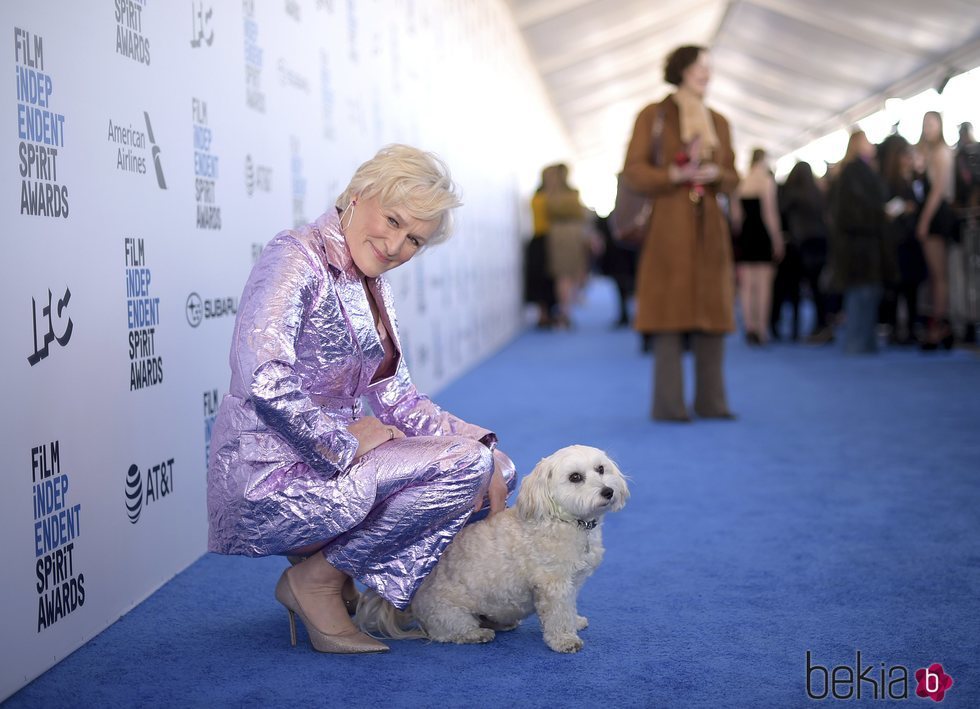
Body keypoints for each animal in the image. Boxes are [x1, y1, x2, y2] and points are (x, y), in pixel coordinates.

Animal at [356, 442, 632, 652]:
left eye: (600, 469)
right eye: (575, 477)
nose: (608, 491)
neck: (566, 521)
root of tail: (411, 600)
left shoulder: (571, 584)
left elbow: (569, 608)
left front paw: (575, 622)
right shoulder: (553, 585)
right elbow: (558, 614)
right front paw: (564, 639)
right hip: (448, 613)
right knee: (447, 633)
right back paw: (477, 634)